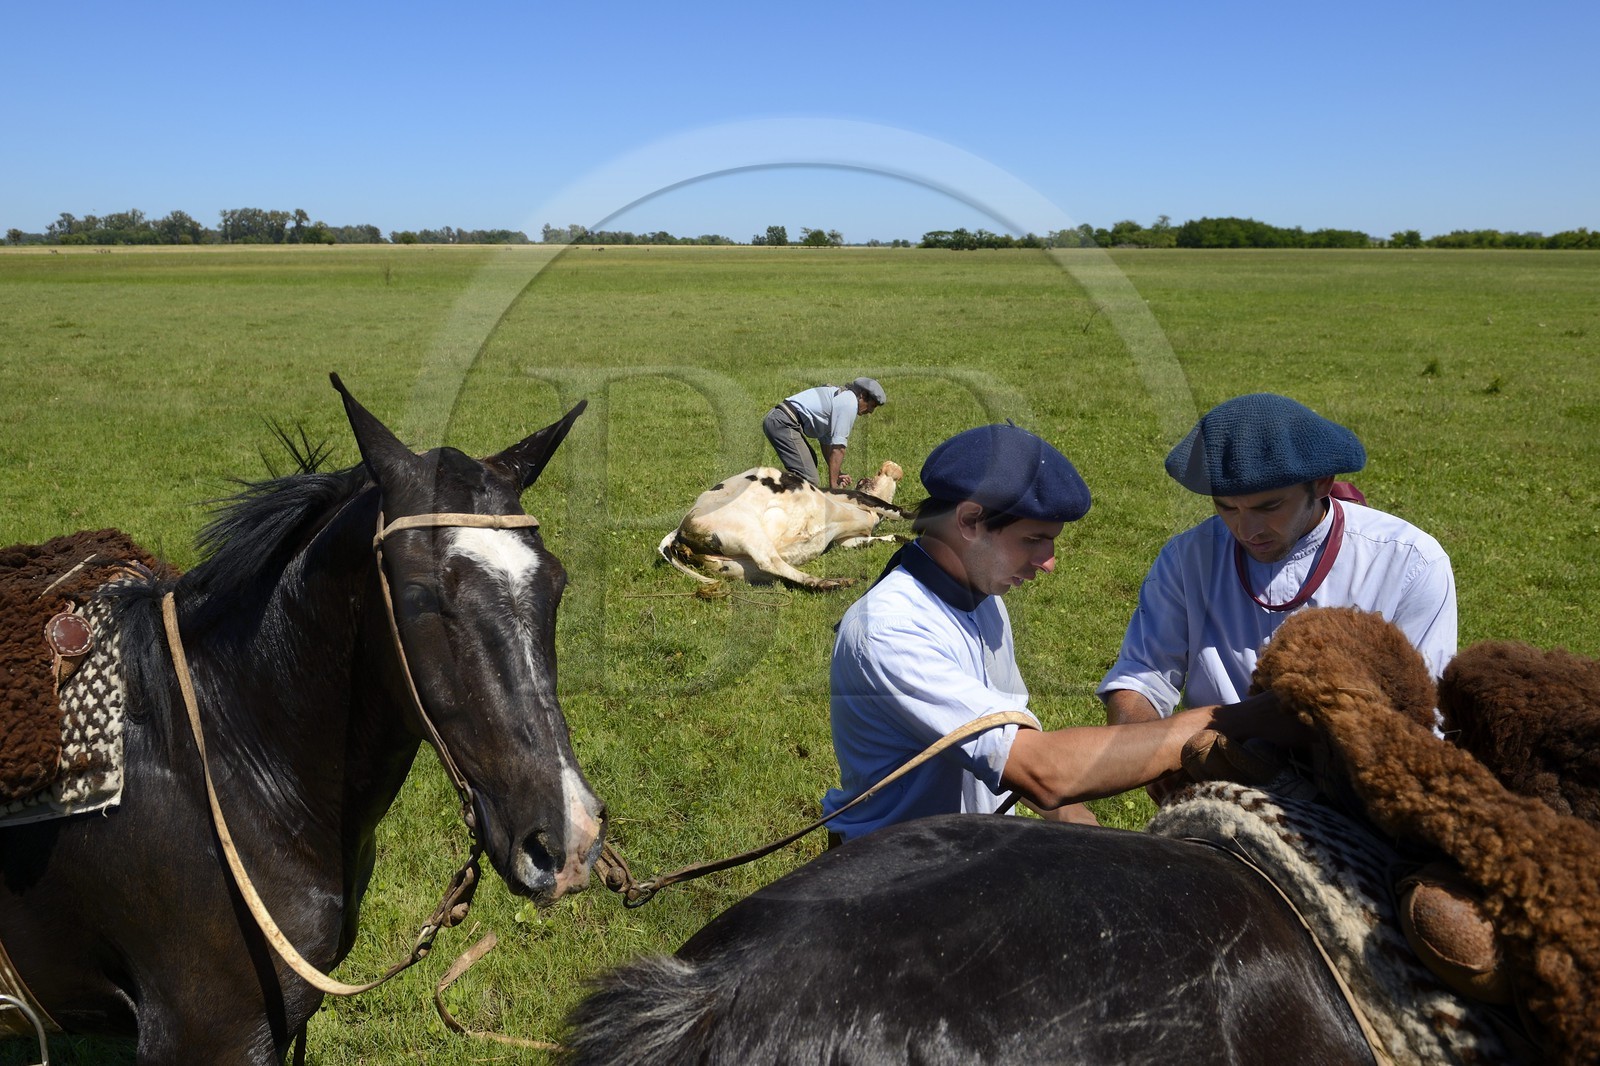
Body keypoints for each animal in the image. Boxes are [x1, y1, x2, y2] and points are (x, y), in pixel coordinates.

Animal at [658, 461, 910, 591]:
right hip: (746, 528)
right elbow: (894, 509)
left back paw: (826, 583)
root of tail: (679, 529)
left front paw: (895, 538)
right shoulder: (849, 496)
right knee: (769, 560)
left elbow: (868, 539)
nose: (890, 468)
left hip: (736, 567)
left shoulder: (846, 540)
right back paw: (830, 582)